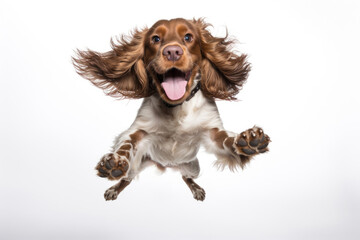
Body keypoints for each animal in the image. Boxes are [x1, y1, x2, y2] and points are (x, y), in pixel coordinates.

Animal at [72, 18, 270, 201]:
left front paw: (249, 140)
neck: (177, 108)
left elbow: (227, 140)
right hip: (137, 164)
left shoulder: (212, 132)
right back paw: (114, 188)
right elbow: (127, 144)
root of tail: (166, 165)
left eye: (188, 37)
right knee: (127, 178)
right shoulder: (139, 130)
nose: (172, 51)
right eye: (155, 38)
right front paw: (115, 161)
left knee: (186, 177)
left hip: (192, 166)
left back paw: (196, 188)